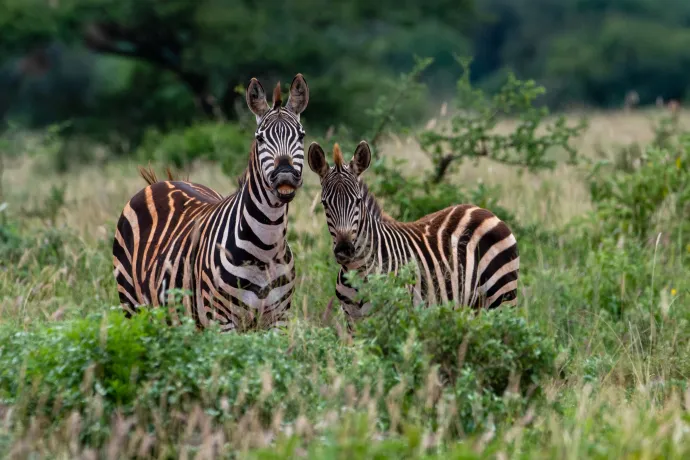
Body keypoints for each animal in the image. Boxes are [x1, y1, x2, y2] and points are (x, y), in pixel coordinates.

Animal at [112, 73, 310, 330]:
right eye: (260, 138)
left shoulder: (278, 320)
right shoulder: (221, 321)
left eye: (301, 135)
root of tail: (162, 182)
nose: (285, 174)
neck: (265, 250)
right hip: (132, 306)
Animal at [306, 140, 516, 328]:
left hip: (502, 297)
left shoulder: (393, 314)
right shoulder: (352, 321)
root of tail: (482, 210)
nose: (344, 249)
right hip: (473, 306)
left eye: (358, 201)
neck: (356, 270)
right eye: (324, 203)